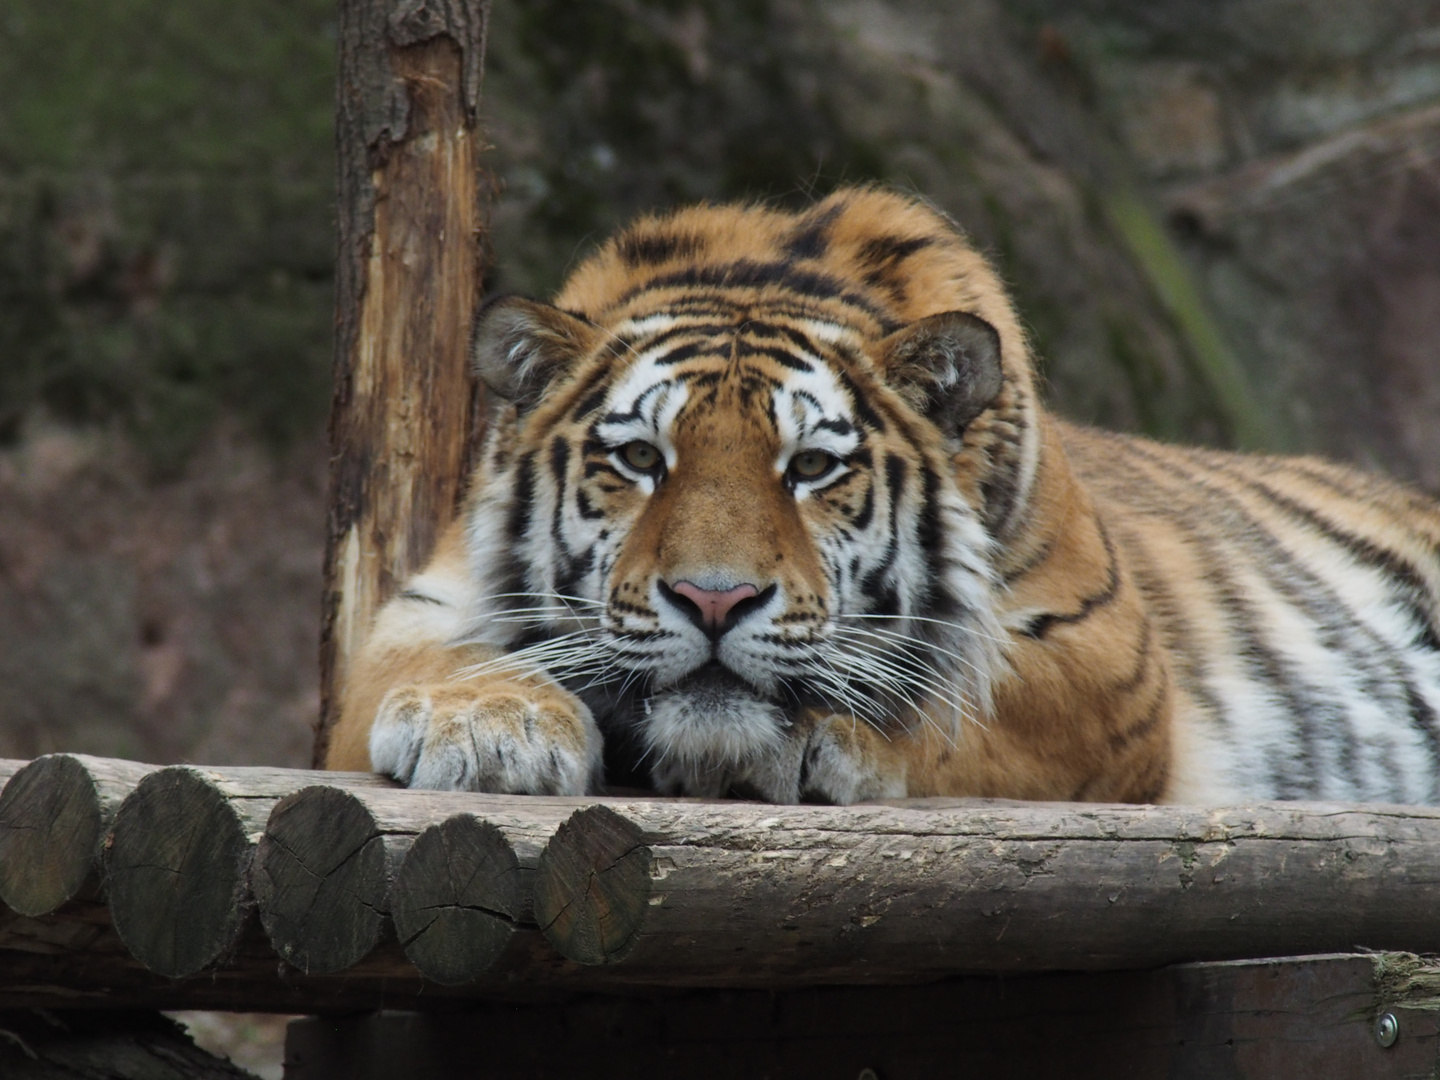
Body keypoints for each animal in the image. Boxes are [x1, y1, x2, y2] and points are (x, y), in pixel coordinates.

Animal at [326, 190, 1440, 806]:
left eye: (812, 468)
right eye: (640, 458)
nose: (715, 601)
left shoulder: (1106, 660)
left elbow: (959, 710)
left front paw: (812, 741)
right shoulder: (422, 604)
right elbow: (419, 664)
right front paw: (487, 726)